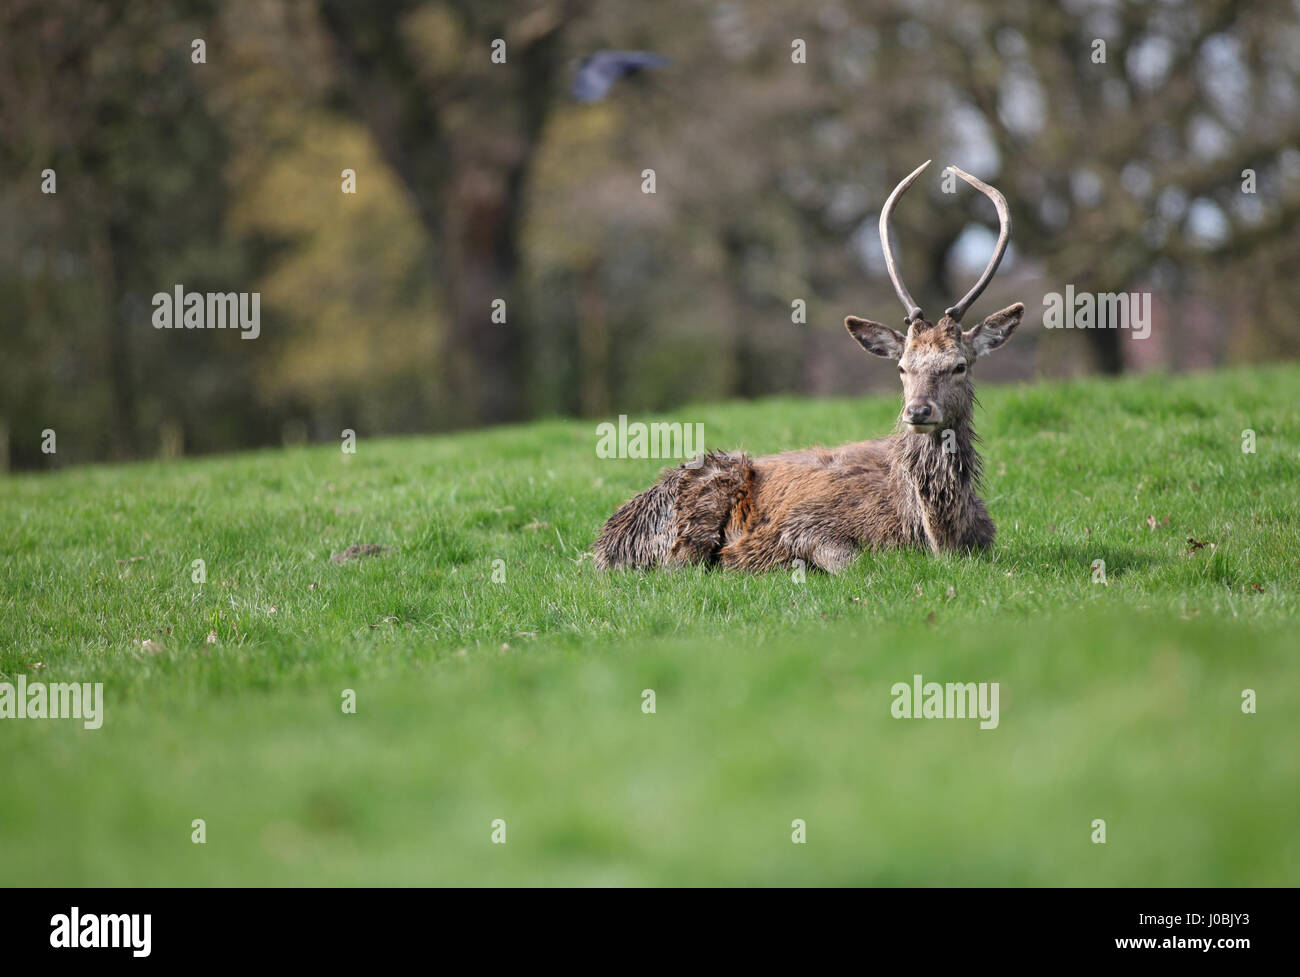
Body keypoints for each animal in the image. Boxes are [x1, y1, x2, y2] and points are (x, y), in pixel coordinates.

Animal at [592, 162, 1024, 571]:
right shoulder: (804, 524)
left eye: (959, 366)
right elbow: (852, 563)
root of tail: (601, 543)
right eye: (902, 367)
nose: (917, 410)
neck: (935, 537)